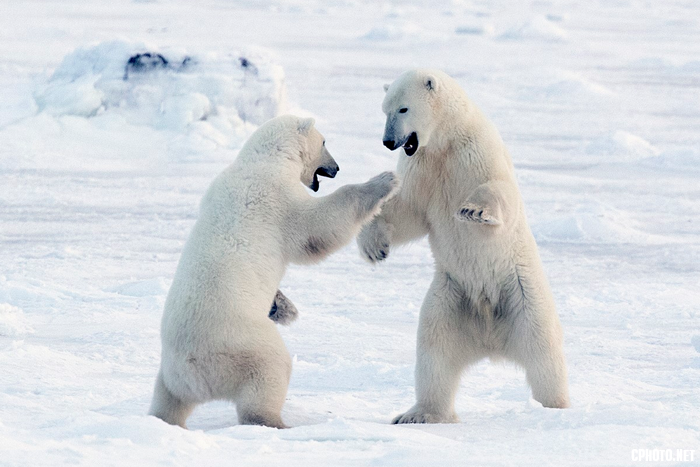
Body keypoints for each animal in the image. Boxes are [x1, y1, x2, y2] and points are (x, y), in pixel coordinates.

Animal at [149, 114, 399, 429]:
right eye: (325, 141)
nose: (337, 167)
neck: (264, 161)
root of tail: (194, 373)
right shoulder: (277, 197)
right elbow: (317, 227)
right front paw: (385, 180)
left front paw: (283, 307)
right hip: (242, 344)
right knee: (270, 371)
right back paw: (276, 422)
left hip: (171, 374)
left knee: (168, 399)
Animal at [357, 69, 569, 424]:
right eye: (384, 109)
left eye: (403, 108)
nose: (388, 142)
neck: (445, 141)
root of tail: (490, 338)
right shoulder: (423, 166)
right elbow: (407, 211)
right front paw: (373, 246)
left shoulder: (475, 153)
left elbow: (499, 190)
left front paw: (474, 211)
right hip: (449, 299)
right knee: (434, 352)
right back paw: (419, 414)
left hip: (522, 295)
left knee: (544, 354)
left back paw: (555, 407)